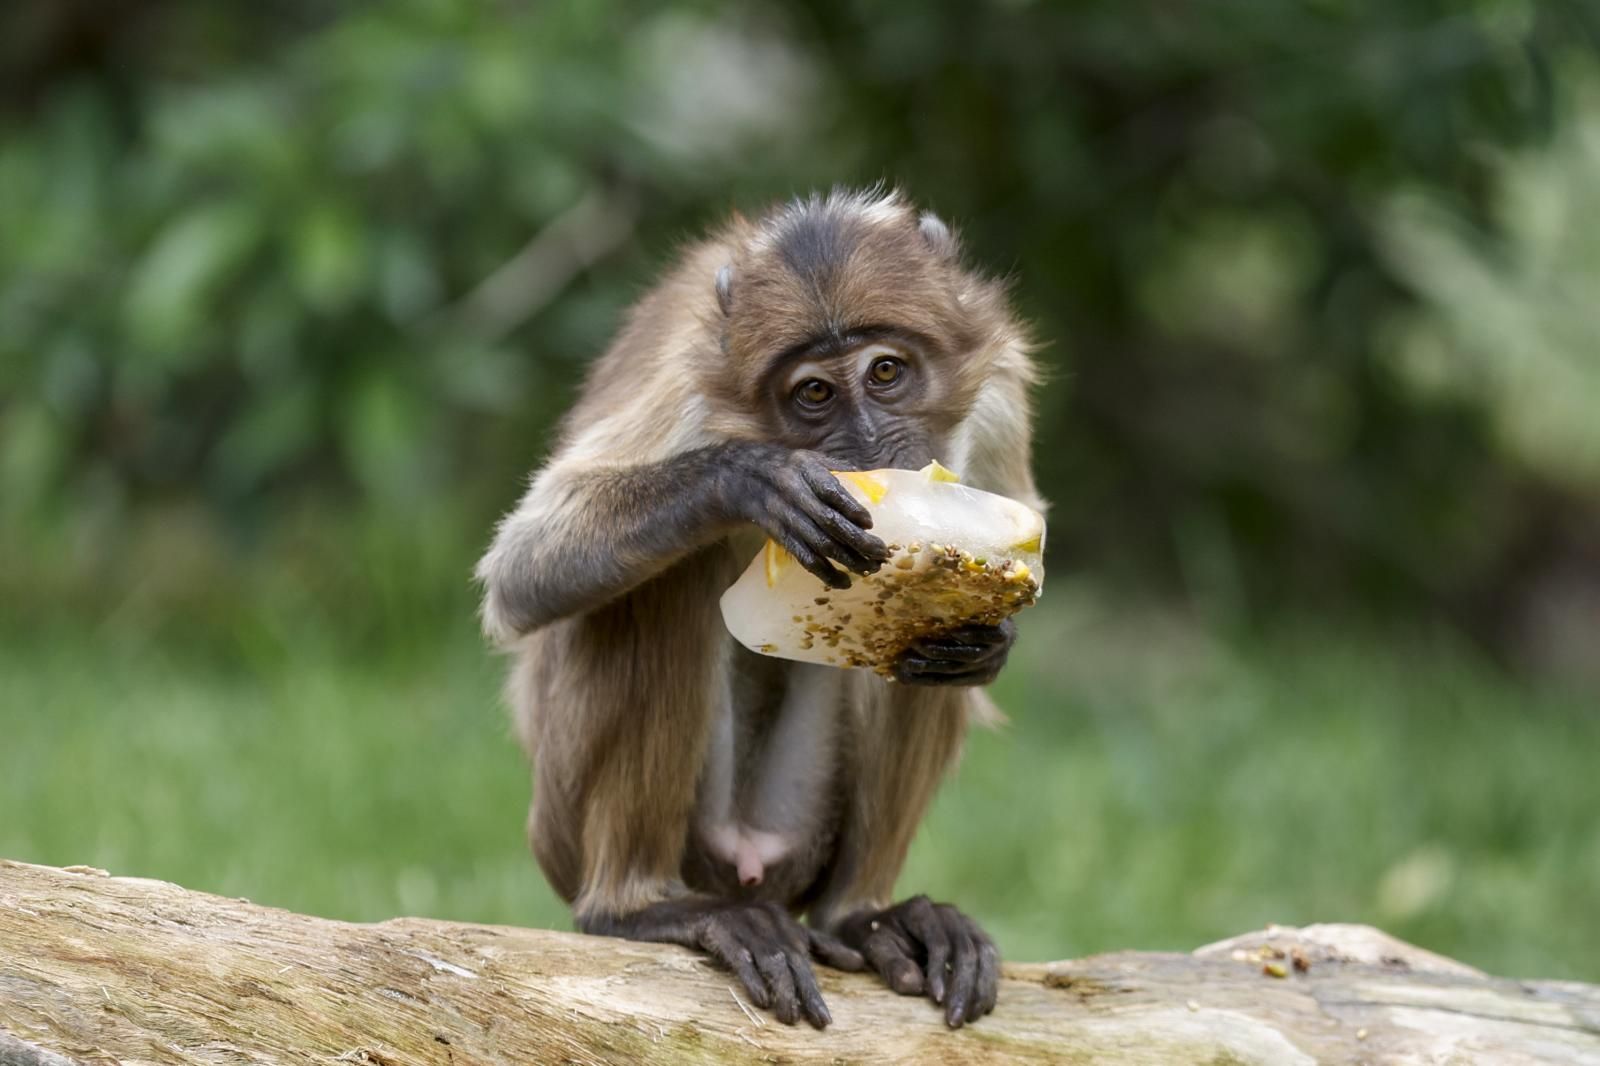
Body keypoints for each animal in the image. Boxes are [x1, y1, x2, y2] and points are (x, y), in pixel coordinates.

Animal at [473, 186, 1043, 1024]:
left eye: (885, 372)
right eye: (815, 393)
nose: (868, 447)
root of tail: (748, 862)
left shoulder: (996, 395)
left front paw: (987, 641)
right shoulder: (690, 395)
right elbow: (519, 573)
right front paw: (746, 479)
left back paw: (862, 917)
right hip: (580, 822)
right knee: (666, 582)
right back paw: (638, 907)